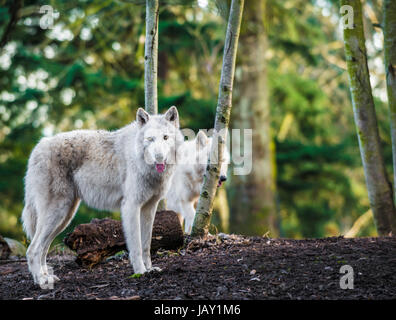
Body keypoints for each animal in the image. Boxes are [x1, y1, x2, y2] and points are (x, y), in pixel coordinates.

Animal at [21, 106, 183, 288]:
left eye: (165, 137)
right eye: (150, 139)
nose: (159, 157)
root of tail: (38, 147)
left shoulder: (149, 208)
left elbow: (146, 245)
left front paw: (150, 269)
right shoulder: (131, 206)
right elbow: (136, 246)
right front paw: (140, 272)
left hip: (64, 217)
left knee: (43, 249)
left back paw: (46, 277)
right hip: (57, 214)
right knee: (33, 249)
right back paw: (41, 280)